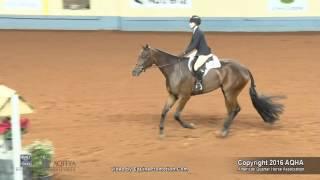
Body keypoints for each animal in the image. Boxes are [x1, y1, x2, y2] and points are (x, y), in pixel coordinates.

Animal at [131, 44, 284, 137]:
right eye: (139, 56)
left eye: (144, 56)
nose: (134, 72)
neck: (174, 69)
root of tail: (244, 68)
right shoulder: (173, 95)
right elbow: (164, 112)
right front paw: (161, 132)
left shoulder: (185, 96)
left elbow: (176, 115)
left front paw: (190, 126)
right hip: (226, 92)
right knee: (233, 110)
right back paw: (224, 129)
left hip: (230, 92)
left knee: (235, 109)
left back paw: (223, 131)